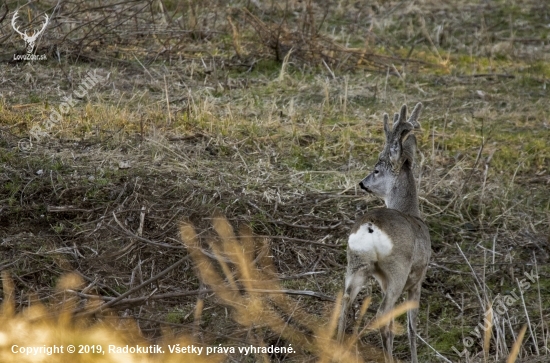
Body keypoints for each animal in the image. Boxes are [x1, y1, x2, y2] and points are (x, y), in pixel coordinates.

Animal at [338, 103, 434, 363]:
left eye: (376, 170)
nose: (362, 183)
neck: (411, 212)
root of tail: (370, 225)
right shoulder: (417, 278)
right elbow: (412, 327)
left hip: (356, 264)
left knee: (345, 302)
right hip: (396, 270)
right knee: (383, 315)